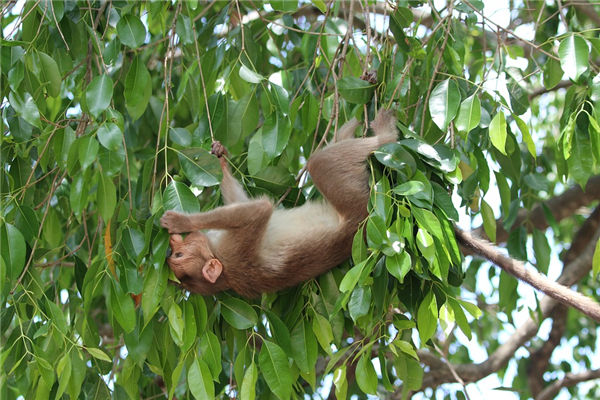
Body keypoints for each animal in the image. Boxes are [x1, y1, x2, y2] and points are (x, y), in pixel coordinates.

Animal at [161, 108, 398, 296]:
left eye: (178, 254)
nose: (170, 247)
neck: (222, 266)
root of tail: (363, 227)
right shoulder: (234, 252)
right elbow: (259, 210)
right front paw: (182, 221)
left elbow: (245, 202)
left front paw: (220, 158)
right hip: (356, 203)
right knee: (321, 163)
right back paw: (387, 136)